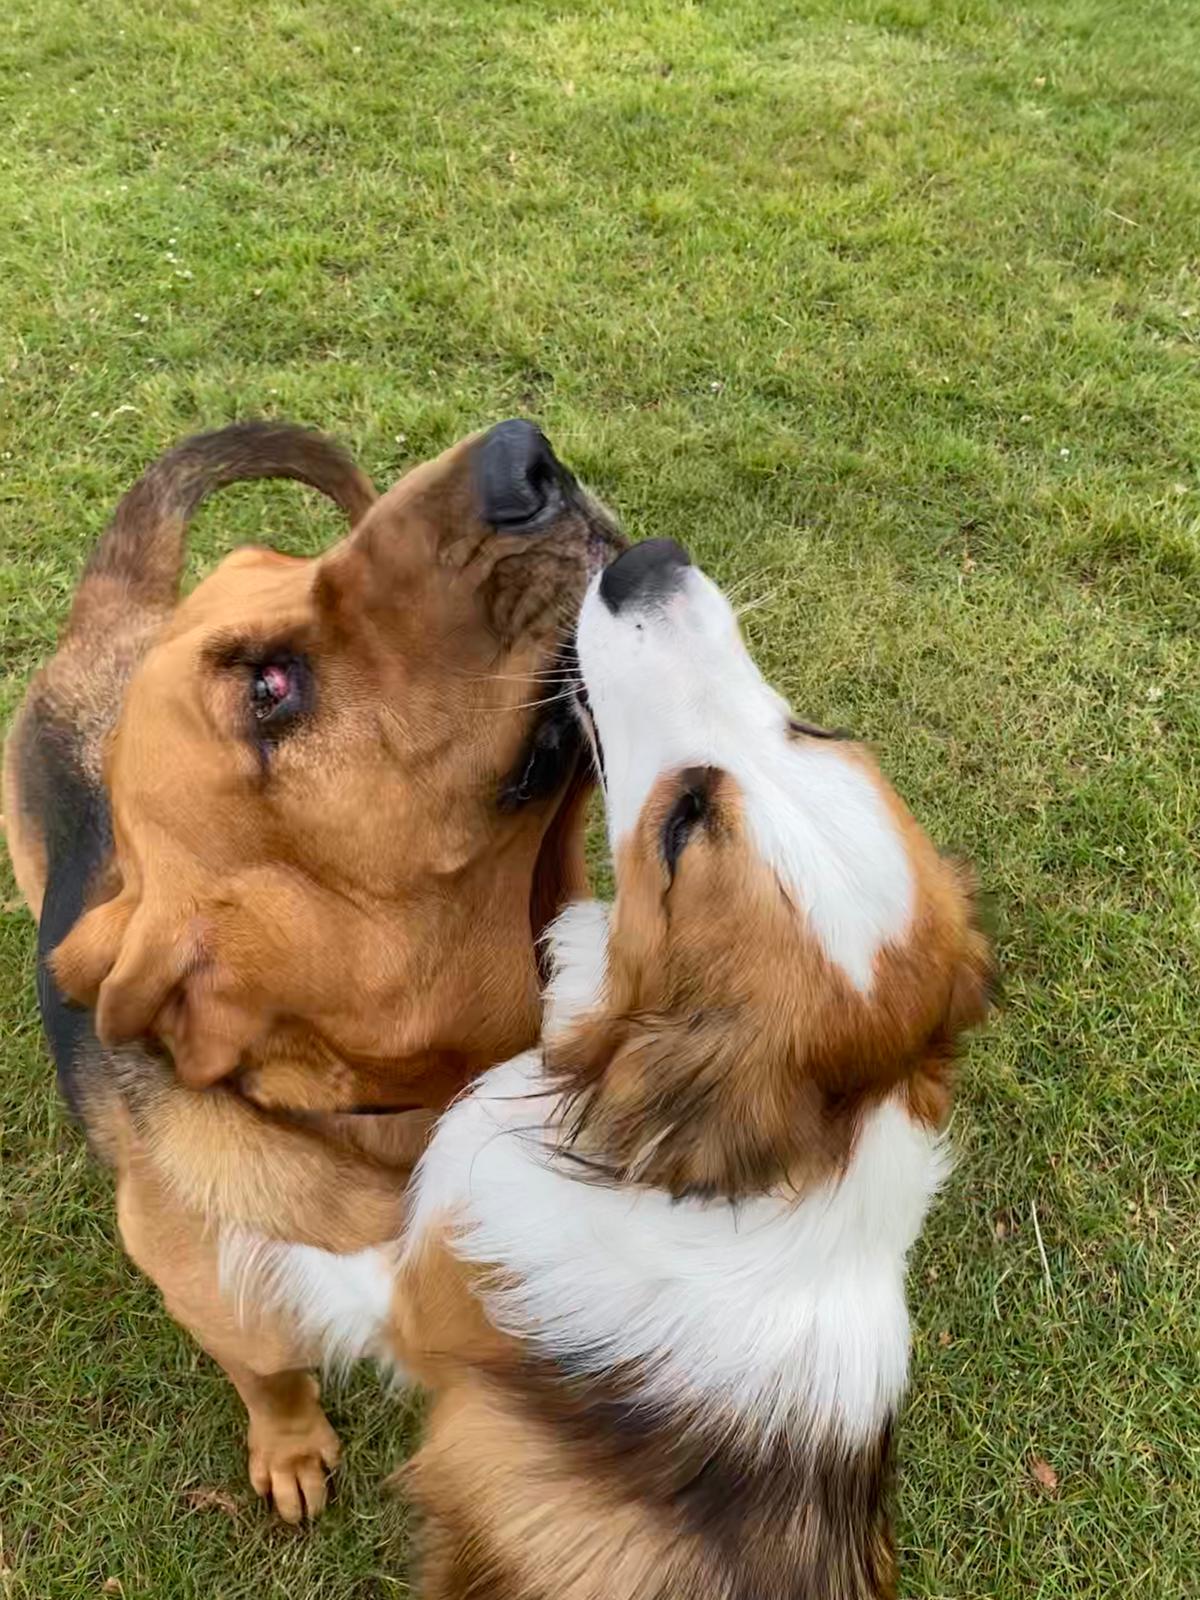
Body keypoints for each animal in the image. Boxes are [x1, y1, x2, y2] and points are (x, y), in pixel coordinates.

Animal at [2, 417, 621, 1521]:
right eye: (269, 688)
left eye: (294, 565)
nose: (527, 454)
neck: (392, 1120)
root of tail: (105, 617)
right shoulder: (216, 1297)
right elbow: (272, 1376)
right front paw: (291, 1450)